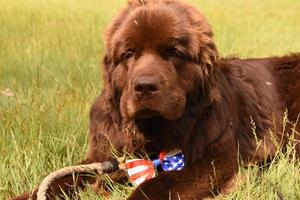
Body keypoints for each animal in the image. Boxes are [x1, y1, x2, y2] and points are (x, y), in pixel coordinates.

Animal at [11, 0, 300, 200]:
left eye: (173, 52)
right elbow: (62, 178)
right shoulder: (102, 156)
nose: (145, 86)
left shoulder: (218, 158)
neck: (150, 131)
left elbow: (157, 184)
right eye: (128, 54)